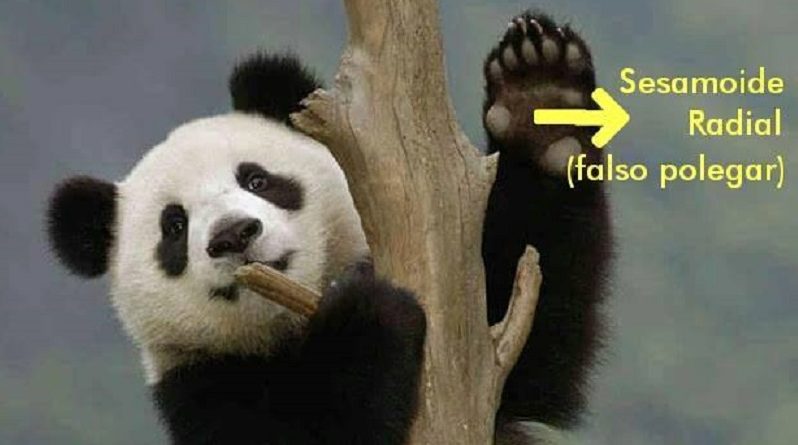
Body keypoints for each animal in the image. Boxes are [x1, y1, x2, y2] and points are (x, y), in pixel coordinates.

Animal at [46, 10, 610, 445]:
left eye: (257, 179)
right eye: (175, 227)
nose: (234, 234)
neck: (290, 327)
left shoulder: (490, 368)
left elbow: (527, 331)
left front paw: (538, 101)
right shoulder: (202, 388)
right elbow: (329, 424)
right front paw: (369, 309)